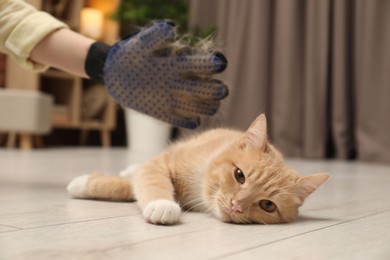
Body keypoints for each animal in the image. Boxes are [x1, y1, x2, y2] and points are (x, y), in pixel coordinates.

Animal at [67, 115, 330, 224]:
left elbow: (133, 185)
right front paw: (162, 204)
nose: (236, 206)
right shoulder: (161, 163)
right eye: (239, 175)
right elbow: (146, 182)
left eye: (268, 205)